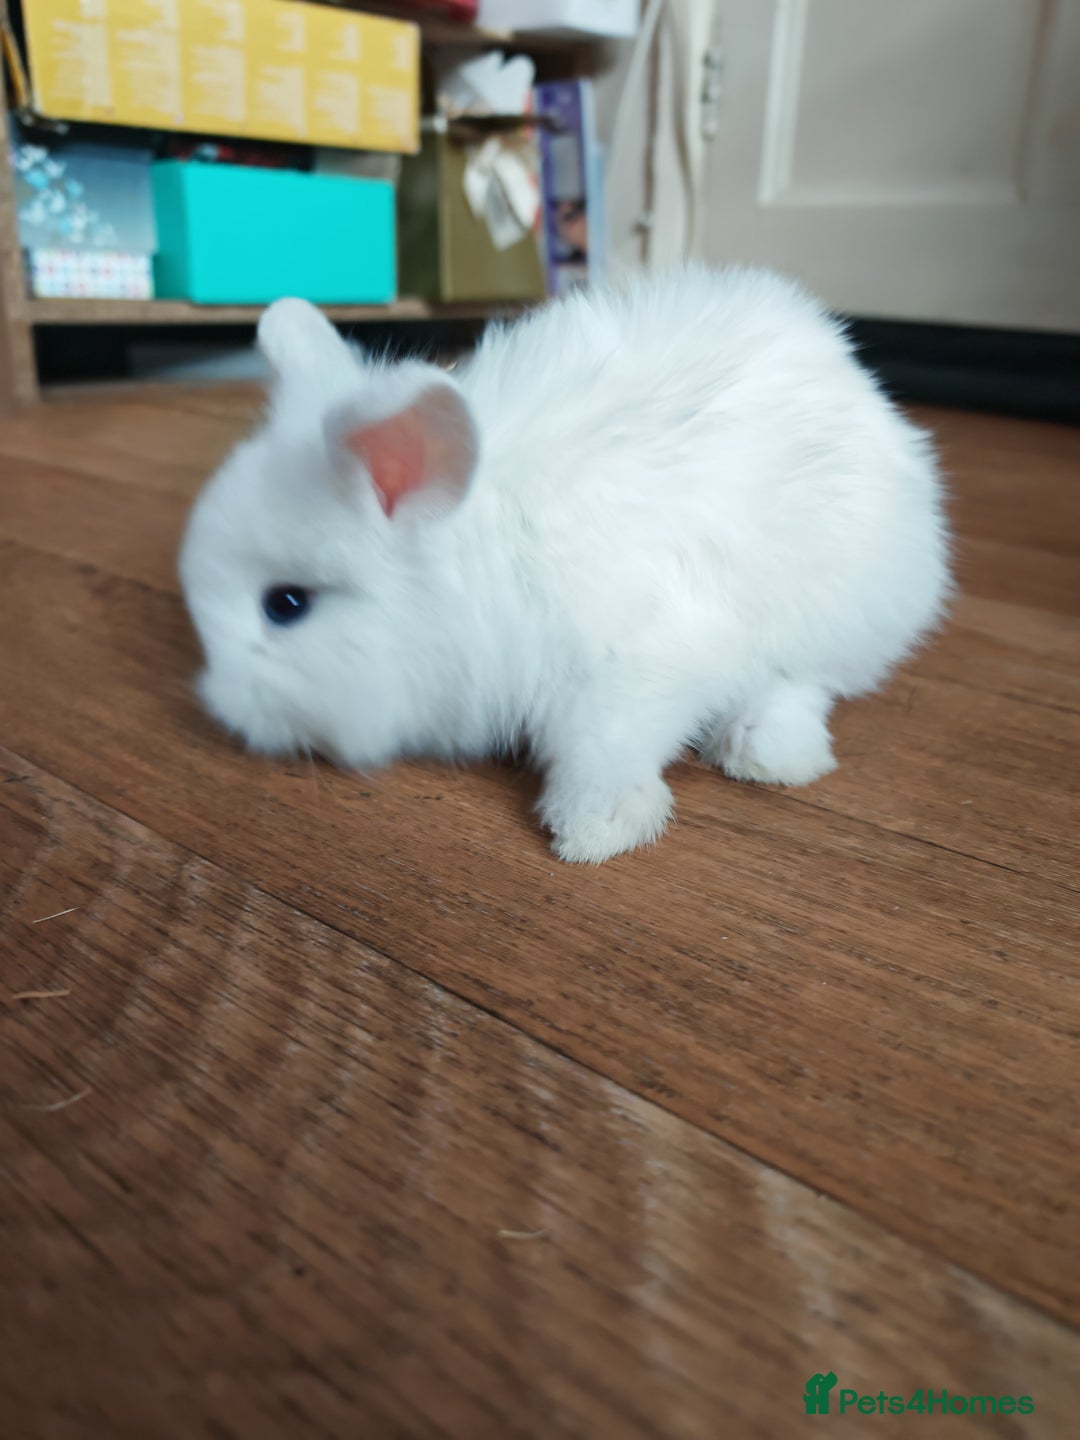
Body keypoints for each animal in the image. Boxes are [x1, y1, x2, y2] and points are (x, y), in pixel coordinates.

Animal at [179, 262, 950, 864]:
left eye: (286, 605)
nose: (221, 707)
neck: (474, 544)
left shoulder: (638, 661)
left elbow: (604, 741)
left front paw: (594, 829)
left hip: (838, 604)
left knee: (805, 682)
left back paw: (766, 752)